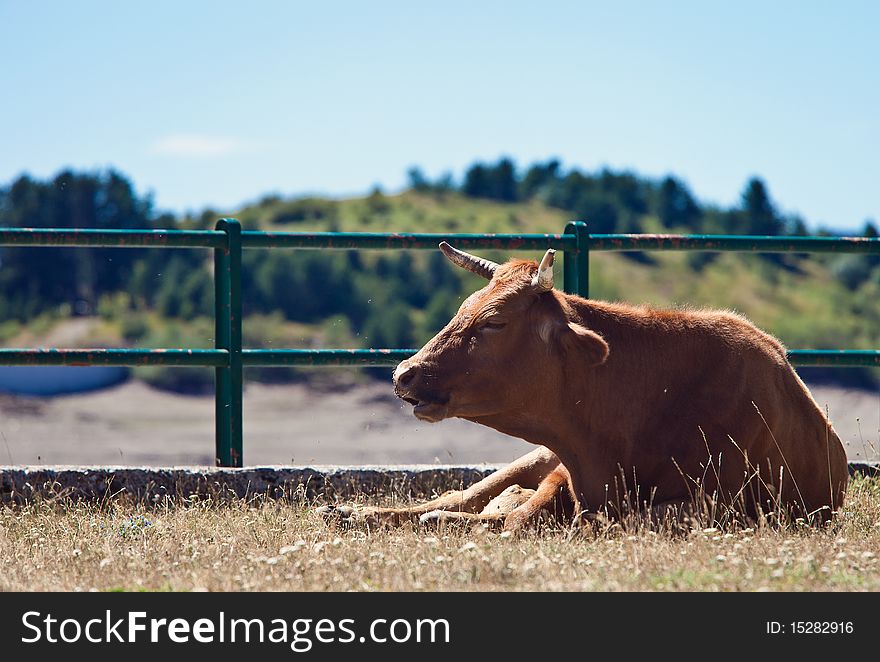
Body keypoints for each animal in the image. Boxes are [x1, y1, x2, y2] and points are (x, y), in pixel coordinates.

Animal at [326, 245, 848, 536]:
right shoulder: (565, 470)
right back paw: (354, 512)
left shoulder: (722, 505)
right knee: (453, 499)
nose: (404, 373)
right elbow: (521, 514)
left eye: (493, 322)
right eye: (463, 309)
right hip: (533, 457)